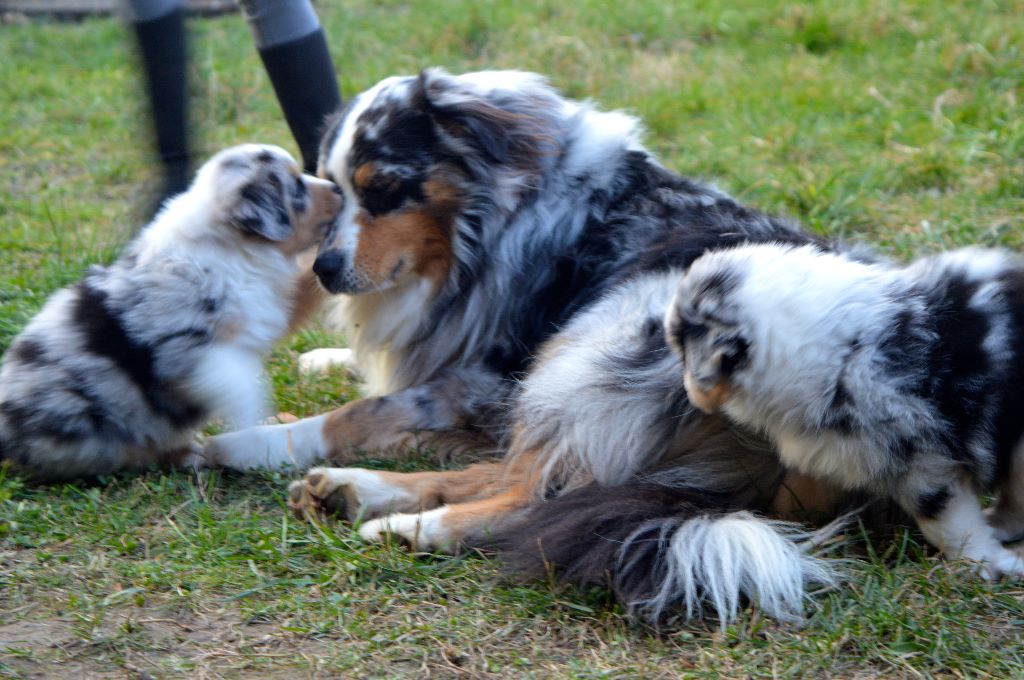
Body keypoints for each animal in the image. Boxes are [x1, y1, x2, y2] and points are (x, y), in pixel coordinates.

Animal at [0, 146, 344, 481]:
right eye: (297, 188)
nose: (338, 189)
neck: (228, 245)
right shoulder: (192, 353)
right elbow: (242, 386)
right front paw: (254, 426)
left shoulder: (269, 302)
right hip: (88, 427)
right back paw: (186, 455)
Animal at [199, 69, 847, 626]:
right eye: (332, 191)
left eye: (384, 190)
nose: (325, 269)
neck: (494, 219)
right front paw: (319, 363)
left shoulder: (487, 384)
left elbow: (359, 412)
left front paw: (247, 442)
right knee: (519, 474)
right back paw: (355, 490)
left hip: (595, 344)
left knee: (534, 495)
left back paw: (414, 528)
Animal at [663, 241, 1024, 577]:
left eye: (682, 351)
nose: (687, 392)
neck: (841, 352)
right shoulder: (830, 447)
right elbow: (798, 488)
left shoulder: (923, 459)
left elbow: (947, 522)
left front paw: (981, 562)